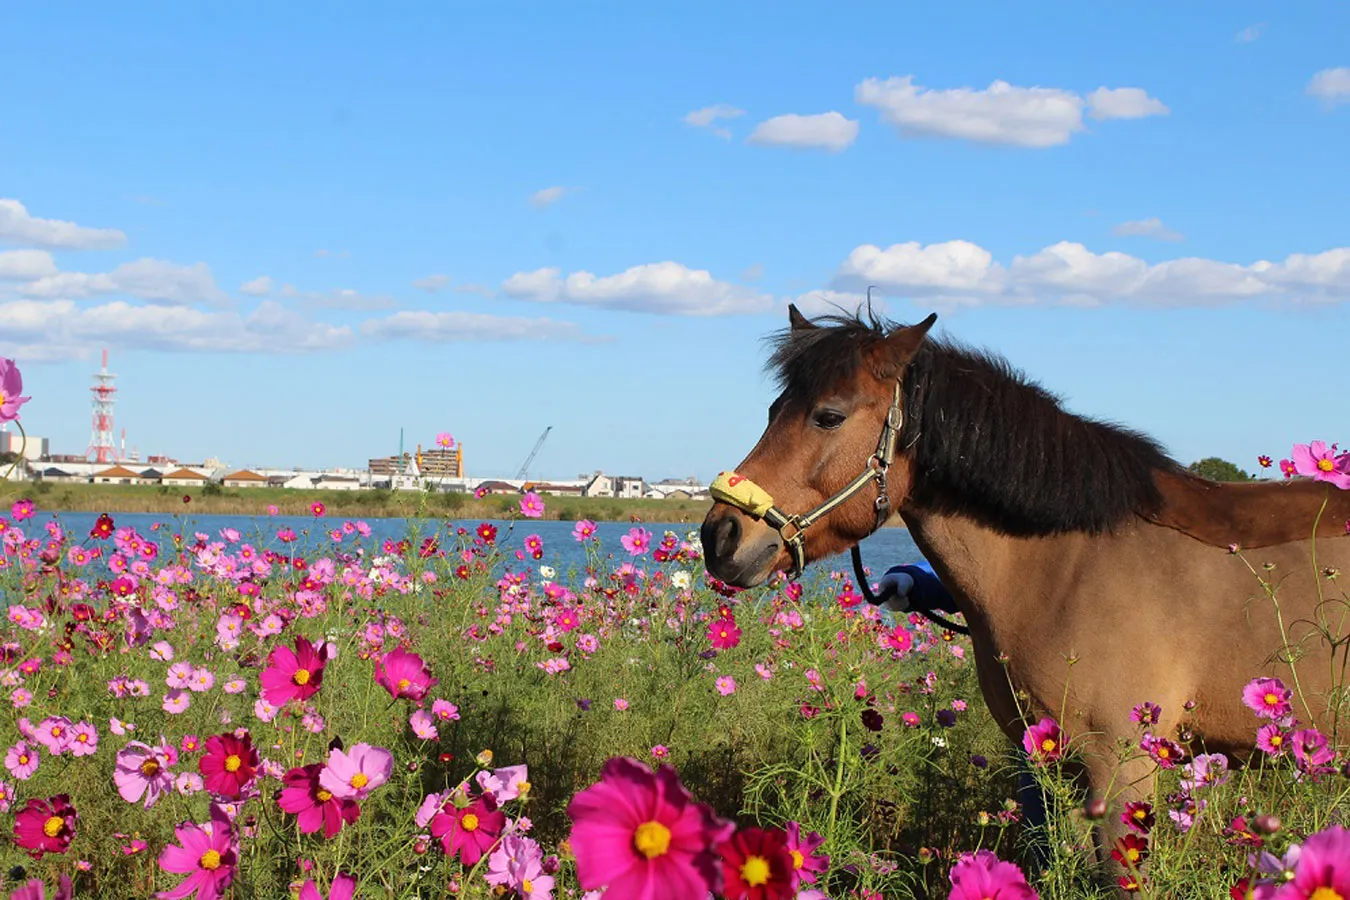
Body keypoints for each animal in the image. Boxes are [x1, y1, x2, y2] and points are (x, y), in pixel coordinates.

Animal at [700, 304, 1350, 874]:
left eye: (828, 416)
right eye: (773, 408)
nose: (720, 535)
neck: (1069, 562)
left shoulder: (1122, 770)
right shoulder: (1047, 764)